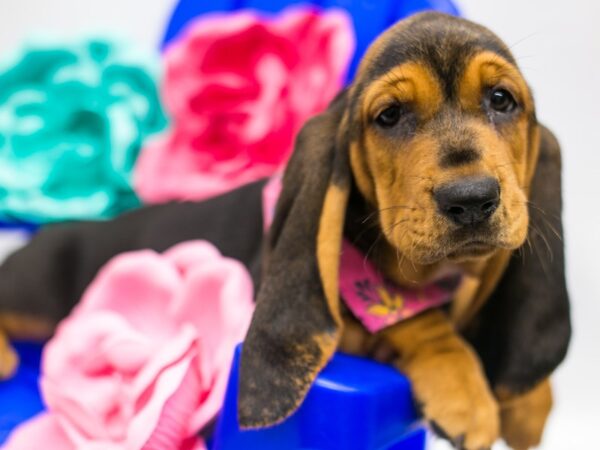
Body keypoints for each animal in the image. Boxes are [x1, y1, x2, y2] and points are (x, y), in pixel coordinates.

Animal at [0, 11, 572, 450]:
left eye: (501, 100)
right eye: (389, 115)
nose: (471, 199)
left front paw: (529, 399)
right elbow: (410, 316)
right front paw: (464, 385)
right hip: (36, 296)